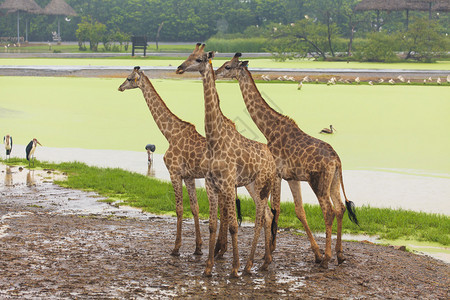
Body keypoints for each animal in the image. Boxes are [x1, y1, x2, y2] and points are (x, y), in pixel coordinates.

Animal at [177, 43, 278, 278]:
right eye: (188, 55)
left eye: (199, 59)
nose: (179, 68)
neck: (215, 141)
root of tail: (271, 158)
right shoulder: (211, 185)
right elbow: (212, 225)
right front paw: (208, 267)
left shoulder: (228, 184)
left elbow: (232, 225)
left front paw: (234, 268)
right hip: (252, 185)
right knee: (267, 216)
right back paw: (264, 262)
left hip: (263, 185)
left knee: (262, 217)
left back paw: (250, 264)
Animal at [214, 52, 358, 268]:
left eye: (227, 66)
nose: (214, 73)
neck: (269, 129)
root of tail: (337, 160)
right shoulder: (291, 177)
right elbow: (297, 211)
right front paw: (311, 252)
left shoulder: (277, 174)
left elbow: (276, 208)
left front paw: (271, 251)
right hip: (333, 181)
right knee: (340, 208)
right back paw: (340, 255)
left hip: (318, 182)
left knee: (329, 211)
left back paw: (327, 258)